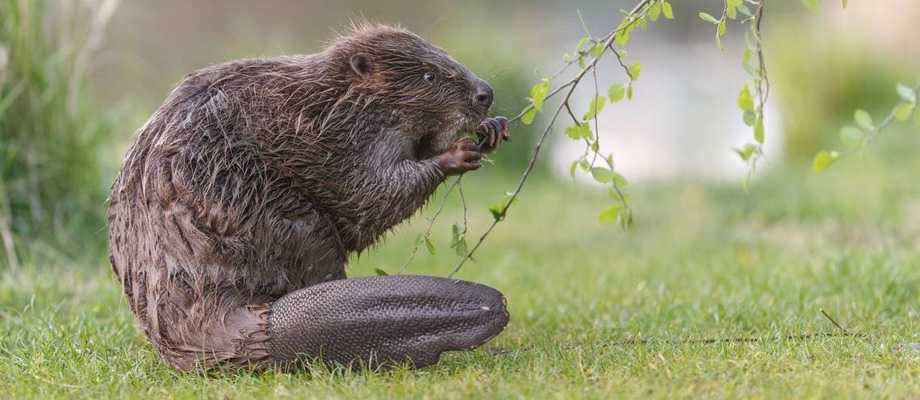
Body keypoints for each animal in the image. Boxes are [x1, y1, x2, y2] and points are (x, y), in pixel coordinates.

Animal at [108, 23, 512, 370]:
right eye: (429, 75)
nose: (486, 93)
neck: (336, 99)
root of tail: (265, 328)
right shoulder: (337, 141)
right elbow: (369, 195)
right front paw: (457, 153)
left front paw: (493, 128)